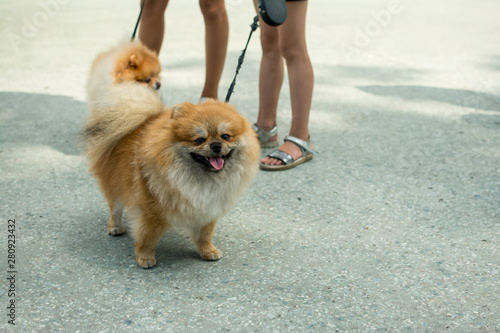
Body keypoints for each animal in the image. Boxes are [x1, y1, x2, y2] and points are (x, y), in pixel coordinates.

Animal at [83, 80, 260, 268]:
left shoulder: (208, 208)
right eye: (199, 140)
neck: (202, 179)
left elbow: (205, 235)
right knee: (115, 208)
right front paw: (145, 258)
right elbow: (148, 236)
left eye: (226, 136)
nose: (216, 145)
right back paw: (115, 227)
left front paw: (208, 251)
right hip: (114, 183)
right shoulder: (152, 210)